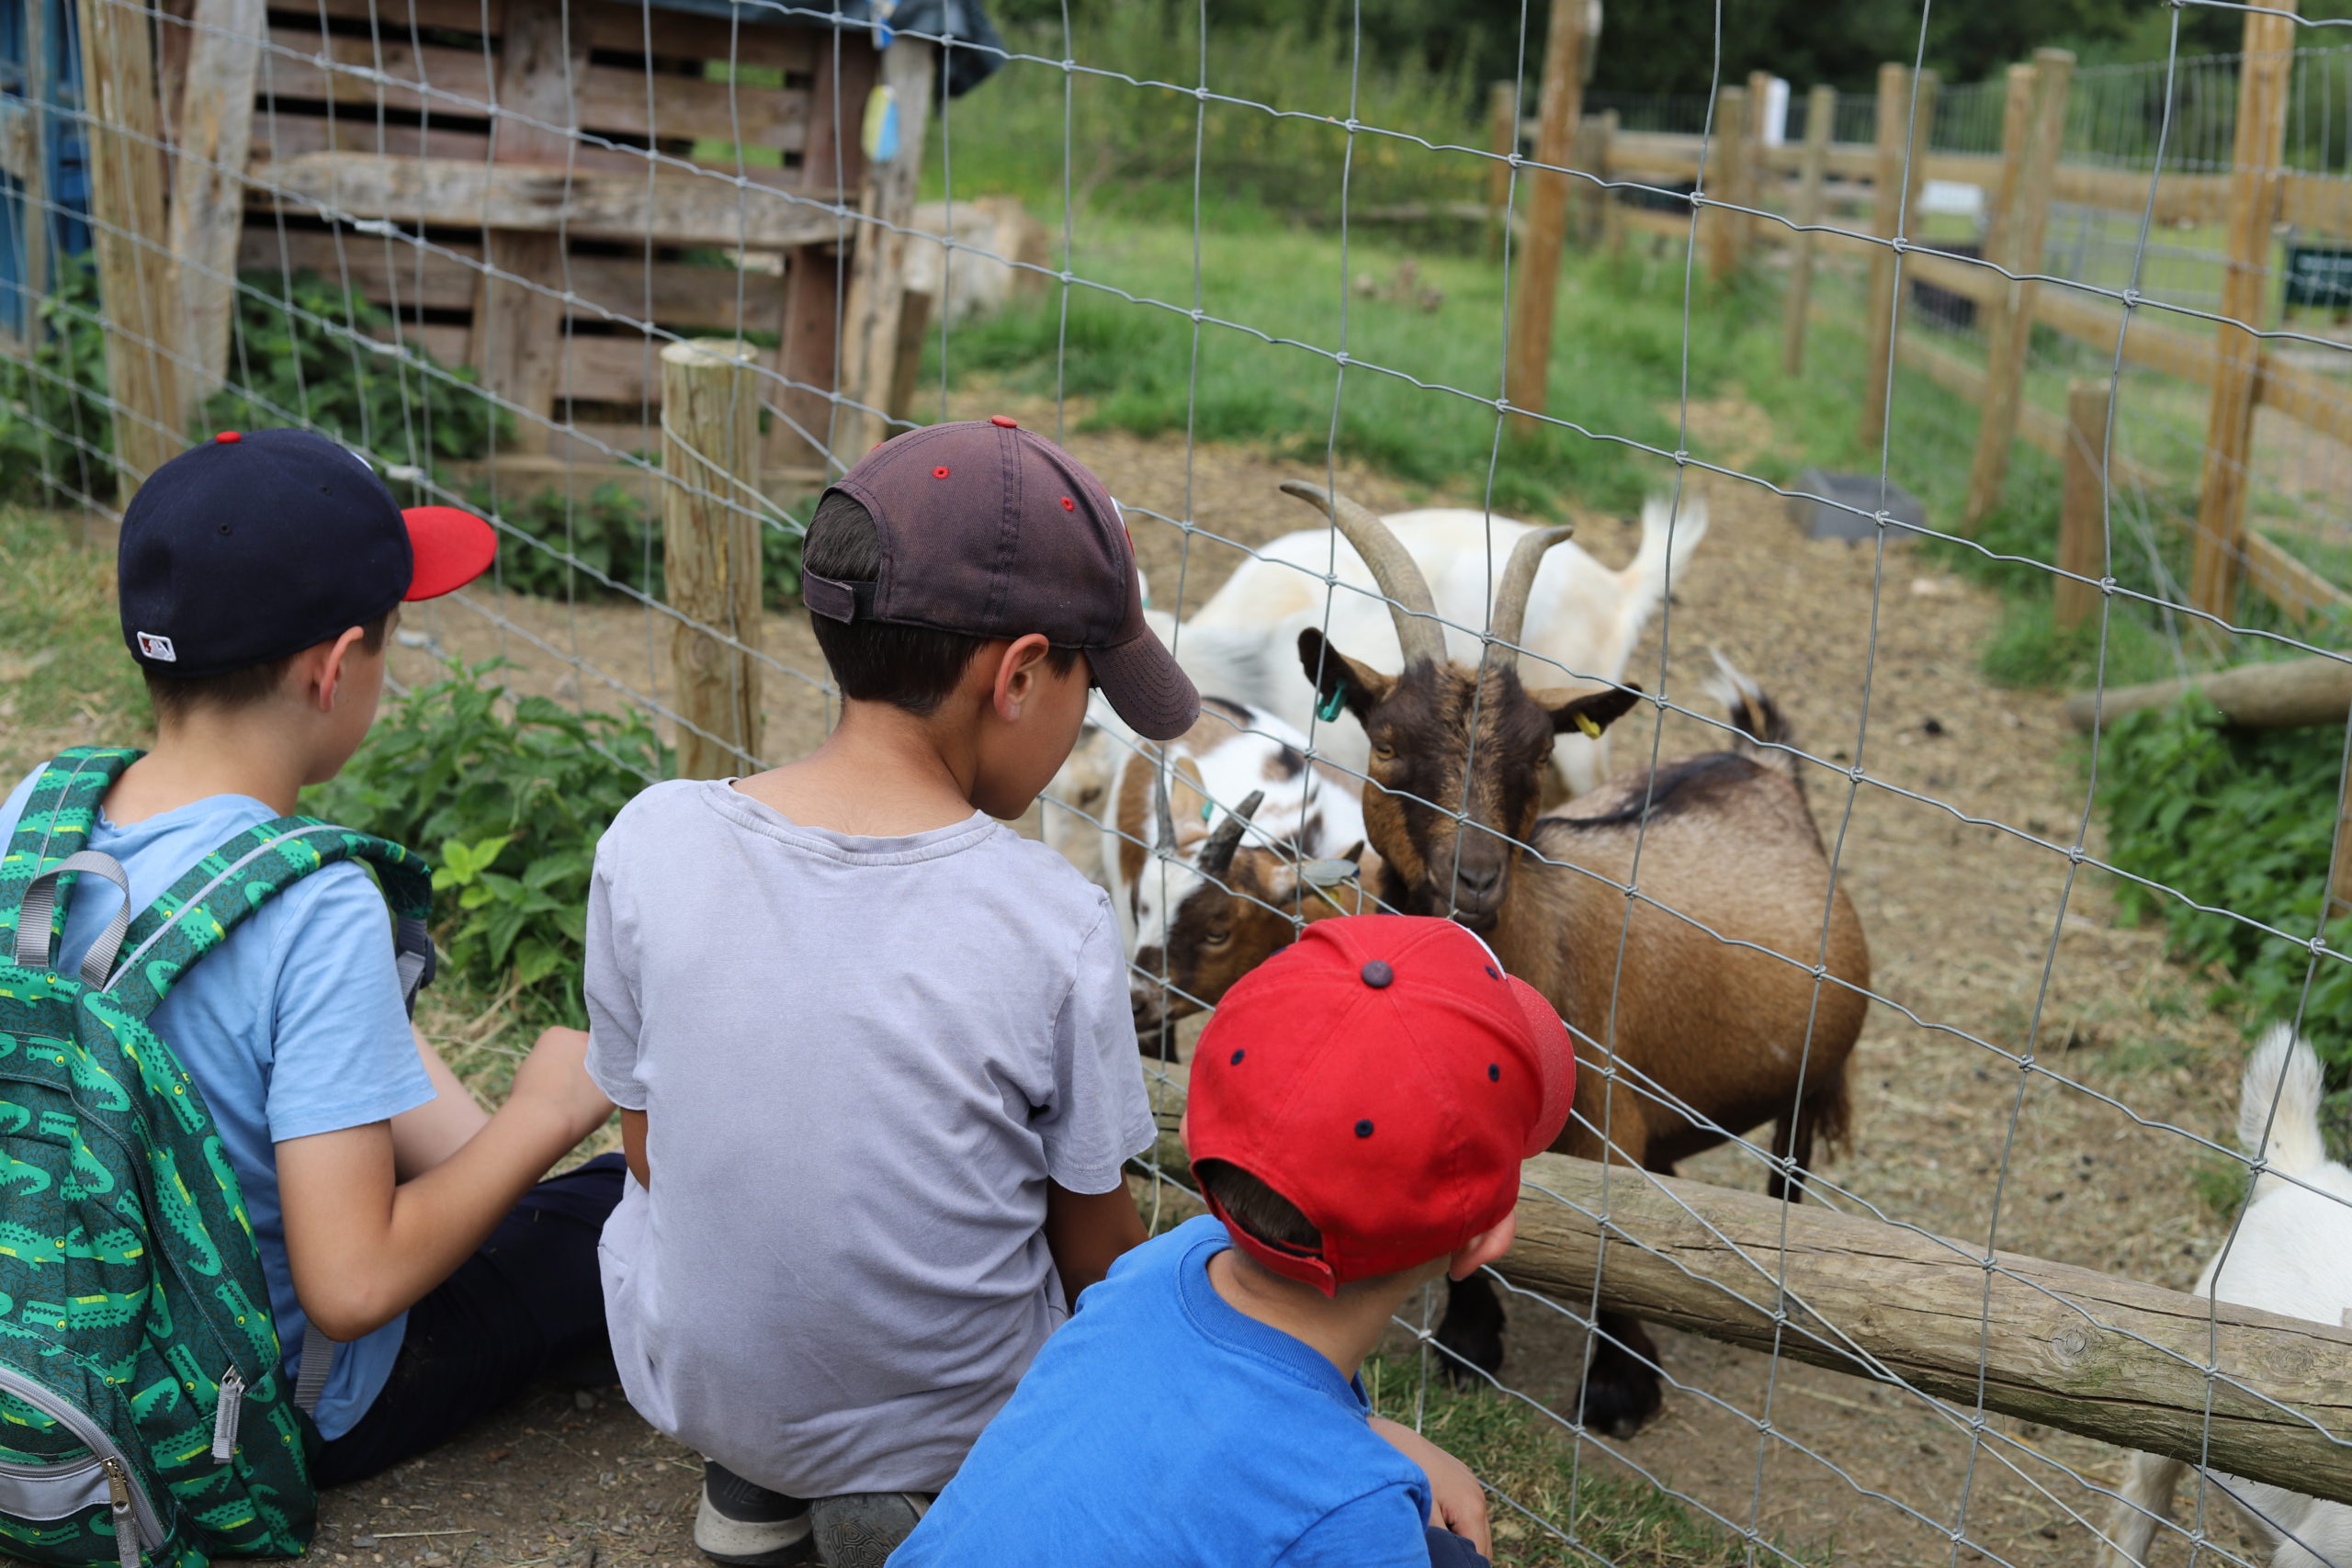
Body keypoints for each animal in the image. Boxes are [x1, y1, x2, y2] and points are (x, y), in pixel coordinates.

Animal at [1279, 484, 1862, 1438]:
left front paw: (1622, 1389)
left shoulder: (1607, 1122)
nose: (1476, 878)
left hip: (1812, 1076)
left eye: (1541, 750)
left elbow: (1618, 1246)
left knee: (1789, 1168)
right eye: (1388, 744)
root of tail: (1766, 768)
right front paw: (1470, 1343)